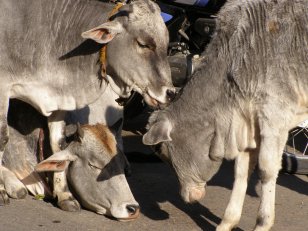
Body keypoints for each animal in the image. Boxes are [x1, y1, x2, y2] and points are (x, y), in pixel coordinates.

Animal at [143, 0, 308, 230]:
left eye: (161, 151)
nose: (186, 196)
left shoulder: (275, 116)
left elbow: (267, 170)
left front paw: (263, 222)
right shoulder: (248, 123)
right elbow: (241, 171)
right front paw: (227, 222)